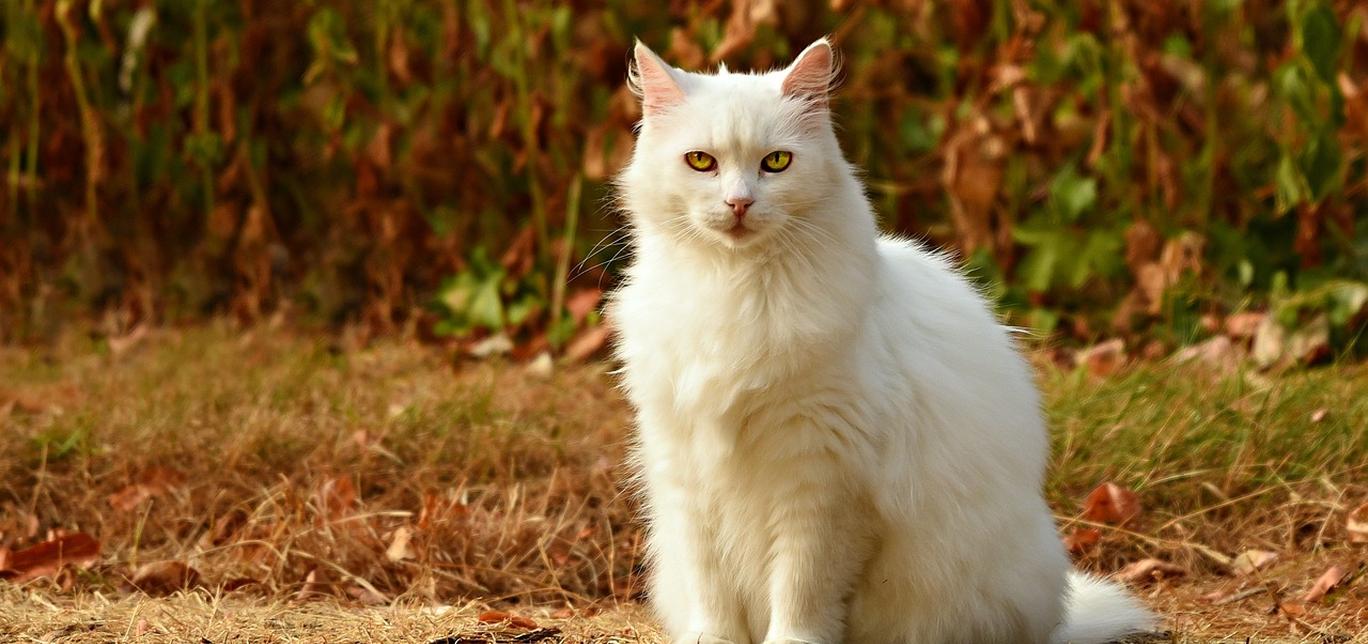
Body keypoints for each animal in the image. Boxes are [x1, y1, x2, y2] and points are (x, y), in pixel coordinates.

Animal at [610, 39, 1154, 644]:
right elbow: (711, 592)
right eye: (701, 162)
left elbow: (799, 590)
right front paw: (713, 639)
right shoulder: (687, 468)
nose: (739, 204)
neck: (732, 289)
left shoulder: (822, 480)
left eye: (776, 163)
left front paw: (792, 640)